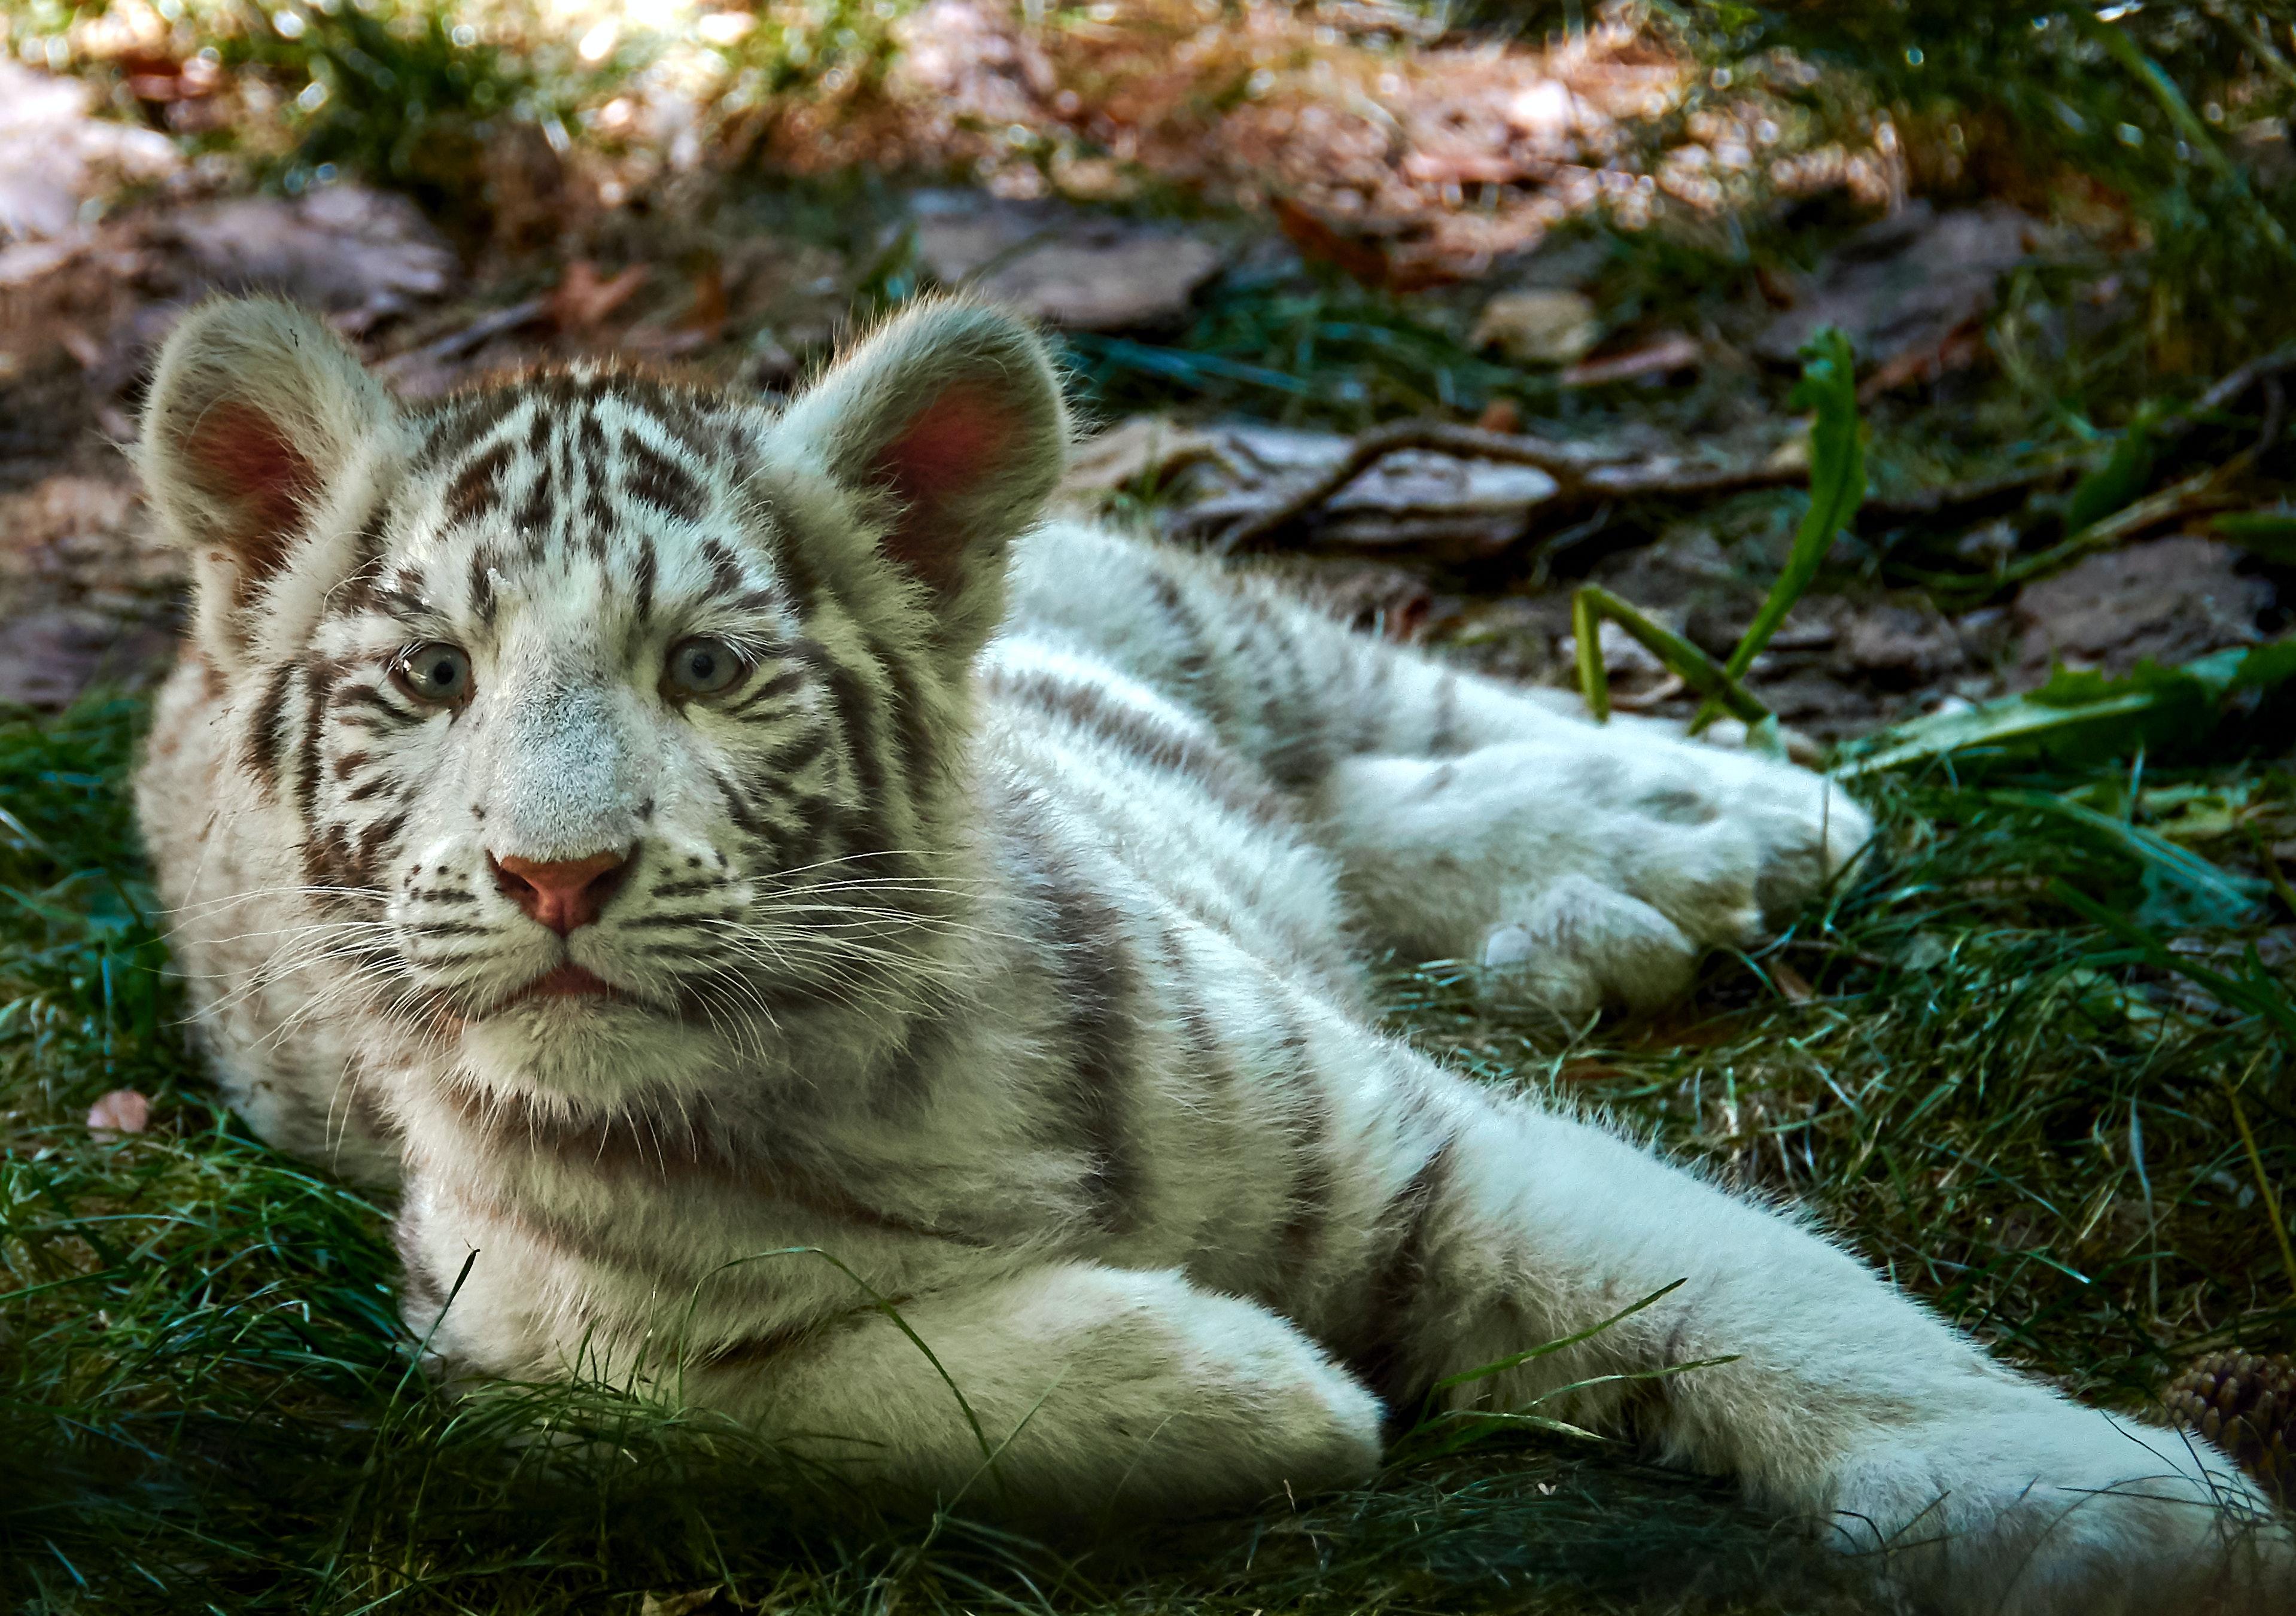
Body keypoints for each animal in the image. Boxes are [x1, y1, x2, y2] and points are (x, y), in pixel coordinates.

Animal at [131, 294, 2286, 1615]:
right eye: (432, 676)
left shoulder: (1438, 1146)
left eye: (711, 668)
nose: (556, 872)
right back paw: (1607, 908)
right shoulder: (525, 1357)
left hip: (1202, 616)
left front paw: (2127, 1512)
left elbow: (1789, 1301)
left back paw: (1752, 817)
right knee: (1362, 819)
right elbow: (837, 1399)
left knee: (1409, 715)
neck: (843, 1072)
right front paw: (1263, 1388)